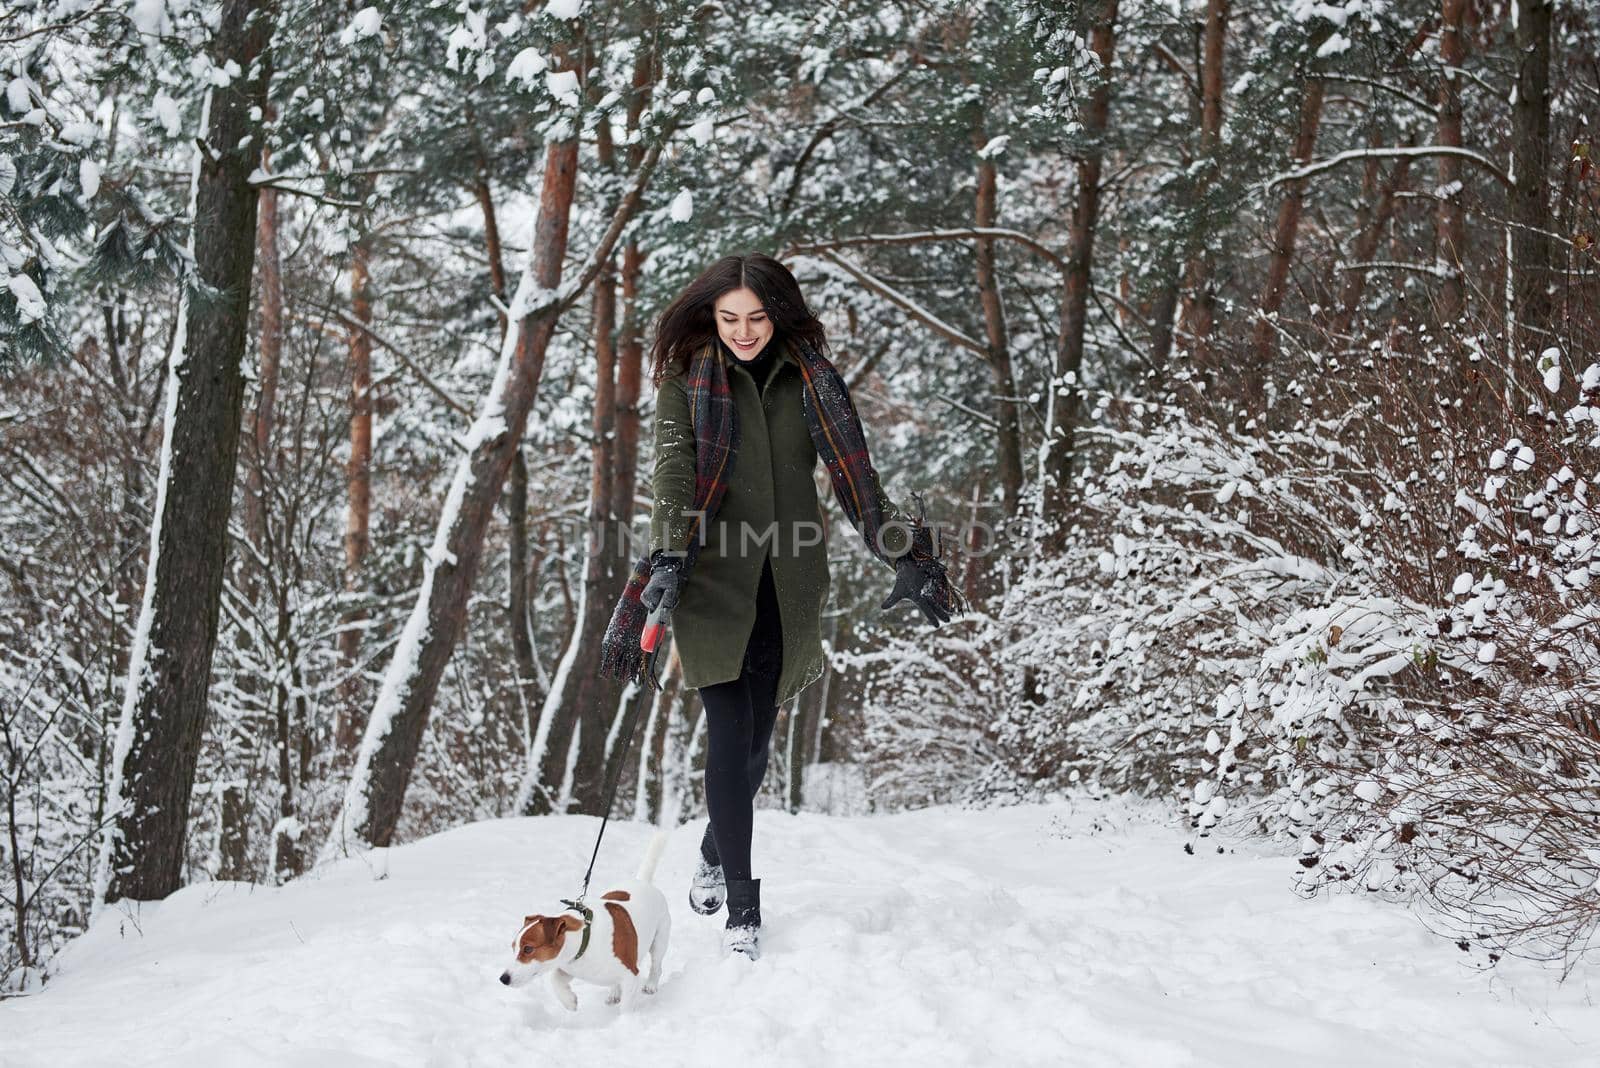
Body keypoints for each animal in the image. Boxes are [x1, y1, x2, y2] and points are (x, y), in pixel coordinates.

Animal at [502, 824, 672, 1010]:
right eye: (513, 947)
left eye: (528, 949)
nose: (503, 978)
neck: (585, 938)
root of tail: (642, 881)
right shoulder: (569, 967)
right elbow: (555, 978)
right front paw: (569, 1001)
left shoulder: (631, 975)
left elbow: (626, 1007)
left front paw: (625, 1018)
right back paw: (614, 993)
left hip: (659, 940)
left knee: (656, 965)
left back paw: (651, 985)